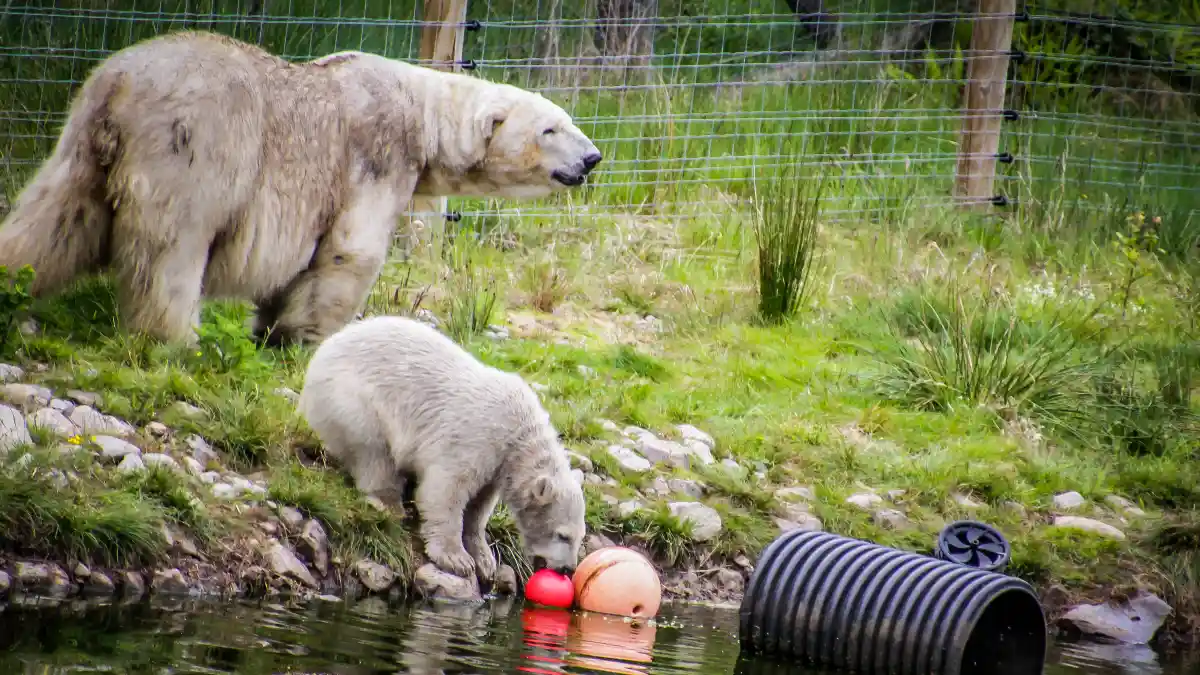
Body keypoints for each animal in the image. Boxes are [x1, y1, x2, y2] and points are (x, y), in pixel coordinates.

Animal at [0, 30, 602, 347]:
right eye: (551, 129)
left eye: (569, 120)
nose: (593, 158)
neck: (422, 109)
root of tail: (119, 86)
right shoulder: (378, 154)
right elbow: (350, 252)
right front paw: (306, 338)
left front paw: (269, 328)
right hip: (196, 144)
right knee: (173, 245)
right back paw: (176, 337)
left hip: (83, 141)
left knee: (54, 220)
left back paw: (12, 284)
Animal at [297, 314, 587, 588]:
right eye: (563, 535)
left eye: (581, 537)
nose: (567, 569)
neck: (519, 432)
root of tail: (325, 348)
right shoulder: (475, 438)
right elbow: (446, 489)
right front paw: (457, 559)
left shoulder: (497, 466)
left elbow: (479, 506)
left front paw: (485, 560)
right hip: (351, 398)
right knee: (373, 451)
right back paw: (390, 502)